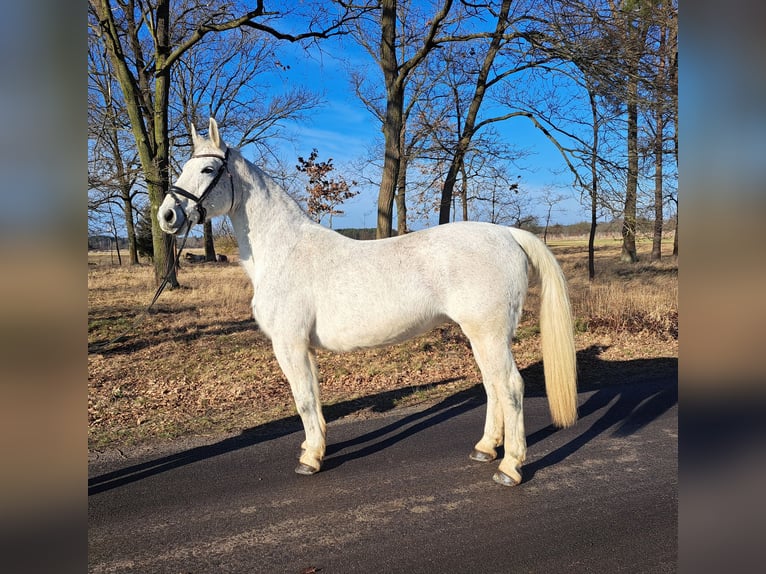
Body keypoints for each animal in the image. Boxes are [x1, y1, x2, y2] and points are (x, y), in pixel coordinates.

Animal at [159, 119, 576, 488]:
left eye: (208, 168)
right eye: (183, 167)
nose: (167, 215)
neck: (286, 251)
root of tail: (506, 232)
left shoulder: (289, 344)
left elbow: (304, 400)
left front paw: (310, 460)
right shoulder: (304, 348)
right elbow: (314, 399)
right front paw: (315, 449)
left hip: (489, 334)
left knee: (510, 387)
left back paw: (510, 467)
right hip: (481, 336)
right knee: (493, 386)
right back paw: (486, 448)